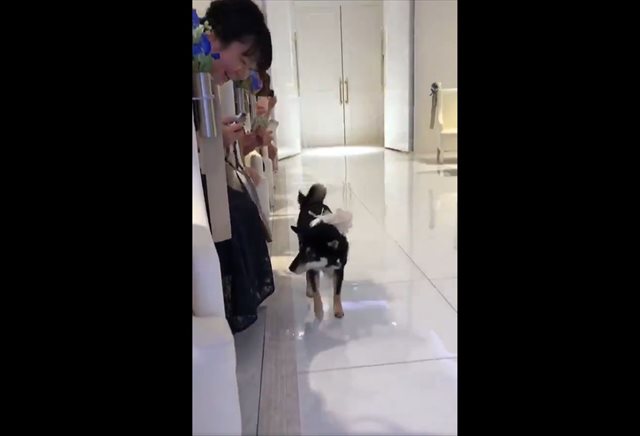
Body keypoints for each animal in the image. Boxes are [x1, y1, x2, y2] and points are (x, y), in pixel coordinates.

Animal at [289, 184, 351, 319]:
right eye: (300, 251)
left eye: (311, 254)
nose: (290, 268)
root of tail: (312, 202)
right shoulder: (313, 269)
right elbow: (316, 290)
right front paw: (318, 310)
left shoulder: (339, 270)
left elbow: (337, 292)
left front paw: (338, 309)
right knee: (308, 277)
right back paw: (309, 290)